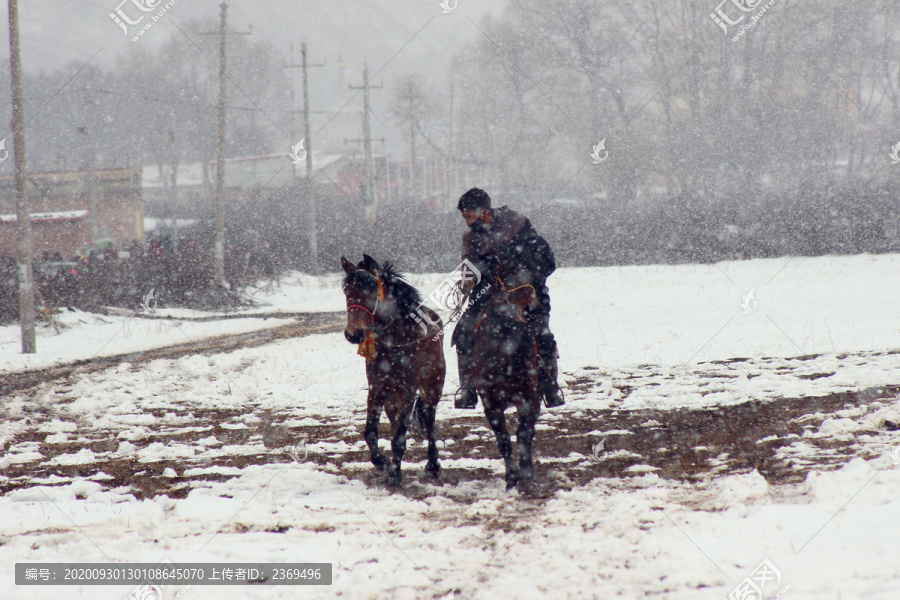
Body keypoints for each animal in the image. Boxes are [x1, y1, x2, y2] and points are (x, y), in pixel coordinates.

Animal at [342, 254, 446, 488]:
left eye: (372, 289)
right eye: (346, 291)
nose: (354, 334)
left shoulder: (408, 391)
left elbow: (399, 436)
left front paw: (394, 475)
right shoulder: (377, 390)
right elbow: (371, 432)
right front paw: (383, 463)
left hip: (433, 387)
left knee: (429, 420)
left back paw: (433, 465)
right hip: (392, 398)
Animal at [472, 262, 540, 488]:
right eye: (506, 276)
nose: (532, 308)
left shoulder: (529, 397)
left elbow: (523, 433)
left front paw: (526, 473)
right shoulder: (490, 403)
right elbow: (503, 439)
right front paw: (511, 477)